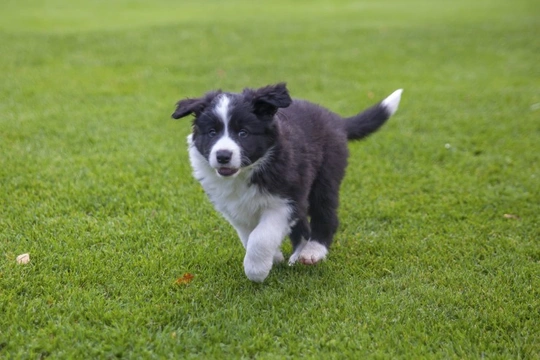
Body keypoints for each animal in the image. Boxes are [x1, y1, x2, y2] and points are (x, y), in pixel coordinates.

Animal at [172, 83, 400, 282]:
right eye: (212, 132)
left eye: (243, 133)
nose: (223, 156)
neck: (245, 173)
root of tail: (334, 119)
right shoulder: (235, 209)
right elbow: (248, 235)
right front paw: (273, 258)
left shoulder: (285, 201)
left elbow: (261, 237)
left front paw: (256, 270)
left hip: (325, 177)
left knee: (325, 215)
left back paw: (313, 251)